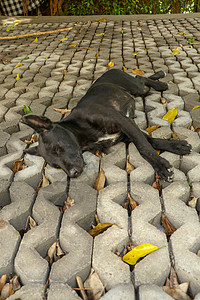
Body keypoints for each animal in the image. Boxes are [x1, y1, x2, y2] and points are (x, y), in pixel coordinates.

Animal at [21, 69, 191, 180]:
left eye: (58, 148)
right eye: (55, 165)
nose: (73, 174)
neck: (81, 131)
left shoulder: (124, 122)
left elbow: (144, 148)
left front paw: (161, 166)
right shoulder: (126, 133)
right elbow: (150, 141)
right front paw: (177, 146)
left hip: (137, 88)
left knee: (140, 78)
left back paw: (161, 81)